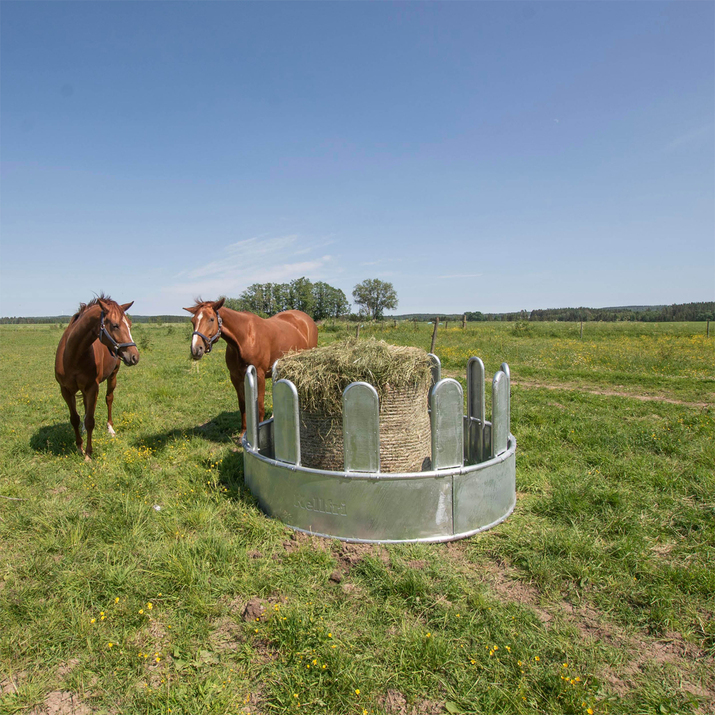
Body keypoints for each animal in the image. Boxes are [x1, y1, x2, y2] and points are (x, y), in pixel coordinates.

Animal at [54, 296, 140, 458]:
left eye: (130, 324)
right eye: (115, 325)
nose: (134, 357)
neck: (73, 355)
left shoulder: (92, 388)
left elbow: (90, 421)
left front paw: (88, 453)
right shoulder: (65, 390)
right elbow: (74, 418)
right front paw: (79, 447)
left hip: (112, 376)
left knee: (109, 399)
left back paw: (110, 429)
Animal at [185, 300, 318, 434]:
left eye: (211, 319)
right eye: (193, 321)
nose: (196, 349)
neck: (245, 338)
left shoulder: (260, 376)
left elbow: (259, 406)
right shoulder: (236, 378)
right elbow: (243, 405)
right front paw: (243, 432)